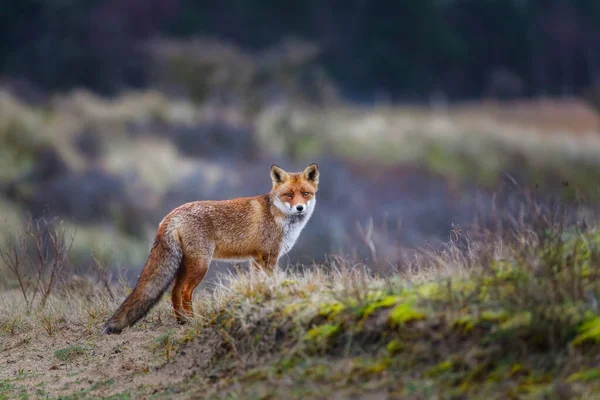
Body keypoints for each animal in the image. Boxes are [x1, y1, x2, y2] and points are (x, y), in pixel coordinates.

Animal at [104, 162, 318, 334]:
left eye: (305, 193)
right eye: (288, 195)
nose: (300, 208)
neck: (279, 217)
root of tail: (171, 215)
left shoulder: (256, 259)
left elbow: (259, 282)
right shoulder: (269, 256)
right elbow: (272, 280)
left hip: (186, 265)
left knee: (174, 292)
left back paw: (182, 322)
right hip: (201, 265)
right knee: (185, 292)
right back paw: (193, 320)